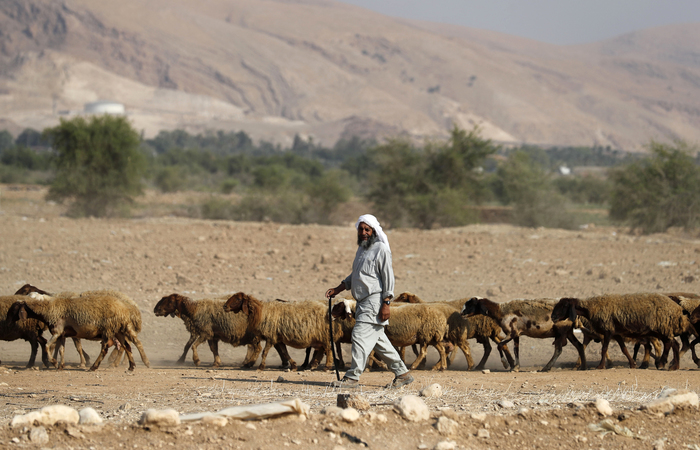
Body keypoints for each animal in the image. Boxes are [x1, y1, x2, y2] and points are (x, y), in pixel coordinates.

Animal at [552, 294, 696, 370]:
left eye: (564, 306)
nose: (553, 317)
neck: (591, 308)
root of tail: (678, 309)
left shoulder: (608, 331)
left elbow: (604, 349)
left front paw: (601, 366)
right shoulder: (616, 333)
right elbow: (624, 349)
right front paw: (633, 364)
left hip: (663, 328)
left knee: (670, 344)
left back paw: (663, 363)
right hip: (664, 329)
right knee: (674, 344)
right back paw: (673, 366)